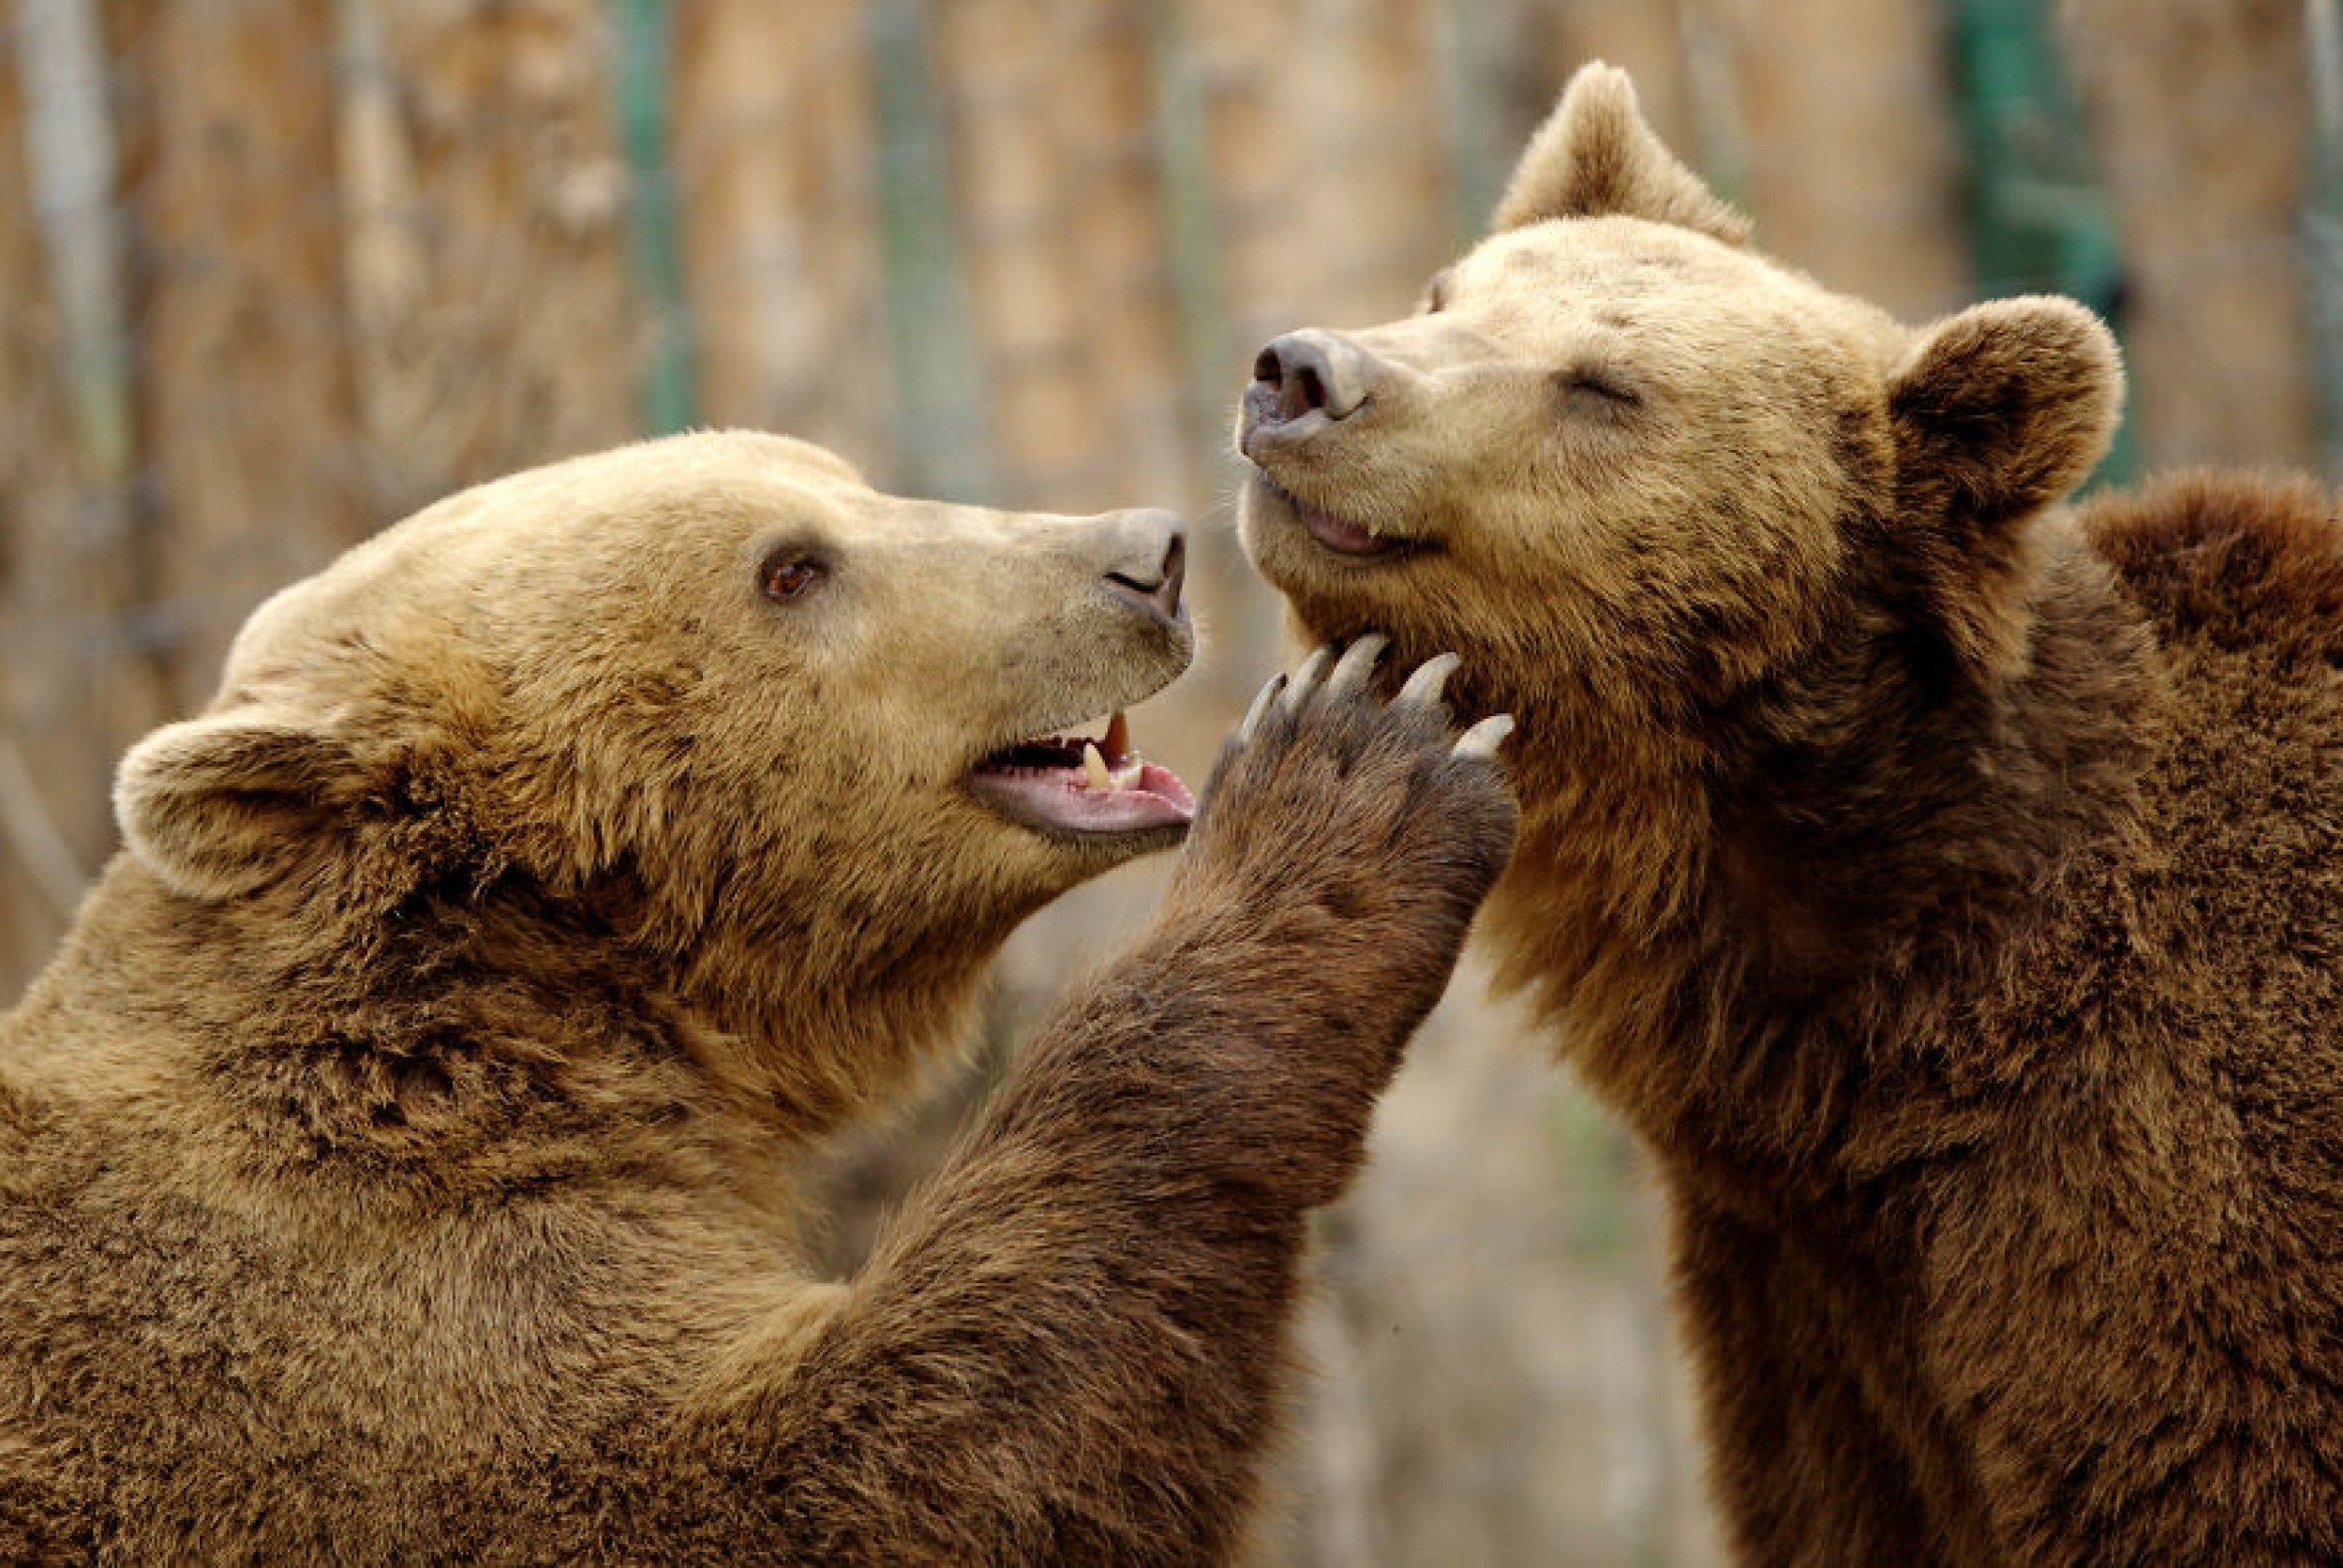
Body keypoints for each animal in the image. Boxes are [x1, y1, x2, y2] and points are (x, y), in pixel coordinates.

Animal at [0, 431, 1518, 1565]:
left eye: (848, 483)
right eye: (791, 569)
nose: (1144, 555)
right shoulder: (366, 1327)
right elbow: (848, 1470)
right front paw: (1357, 759)